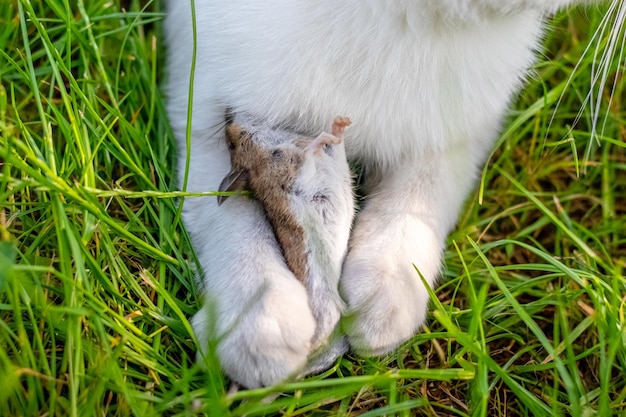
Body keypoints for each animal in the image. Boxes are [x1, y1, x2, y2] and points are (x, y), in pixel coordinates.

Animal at [163, 1, 616, 388]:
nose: (233, 124)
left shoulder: (456, 133)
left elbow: (420, 198)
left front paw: (384, 304)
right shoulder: (199, 100)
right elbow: (225, 219)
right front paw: (260, 328)